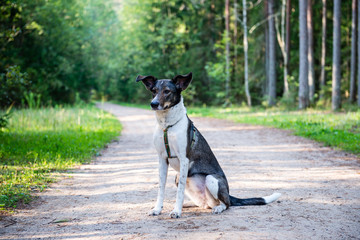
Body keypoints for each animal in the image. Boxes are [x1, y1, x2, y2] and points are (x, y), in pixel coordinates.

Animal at [136, 72, 280, 218]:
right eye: (153, 91)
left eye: (167, 91)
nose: (153, 104)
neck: (167, 126)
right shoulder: (162, 159)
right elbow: (161, 187)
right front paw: (157, 209)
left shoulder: (184, 159)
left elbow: (180, 191)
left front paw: (176, 211)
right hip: (178, 177)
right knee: (204, 204)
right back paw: (188, 204)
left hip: (211, 179)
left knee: (226, 204)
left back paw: (217, 208)